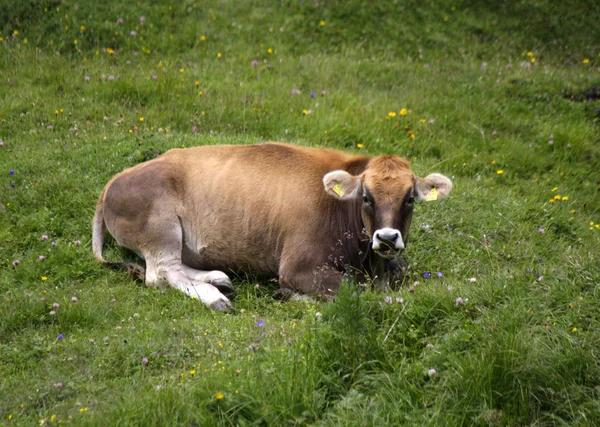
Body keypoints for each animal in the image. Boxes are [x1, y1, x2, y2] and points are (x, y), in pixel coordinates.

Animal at [92, 143, 450, 310]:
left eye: (409, 199)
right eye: (366, 197)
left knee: (173, 268)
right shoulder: (298, 266)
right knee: (161, 273)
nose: (387, 237)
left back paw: (219, 278)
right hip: (161, 229)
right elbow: (355, 291)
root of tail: (114, 180)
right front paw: (289, 294)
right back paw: (215, 296)